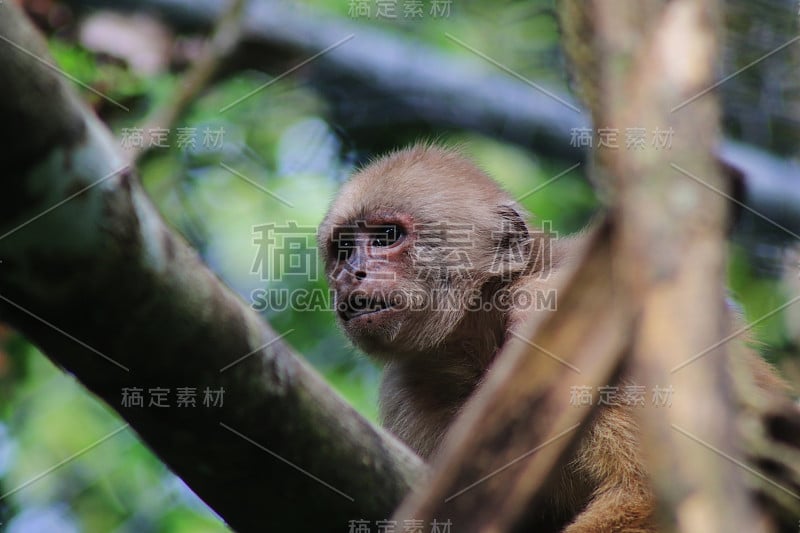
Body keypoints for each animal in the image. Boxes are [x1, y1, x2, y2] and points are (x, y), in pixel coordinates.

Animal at [318, 143, 792, 528]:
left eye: (386, 237)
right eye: (344, 249)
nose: (349, 275)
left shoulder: (546, 301)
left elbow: (650, 495)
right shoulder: (406, 392)